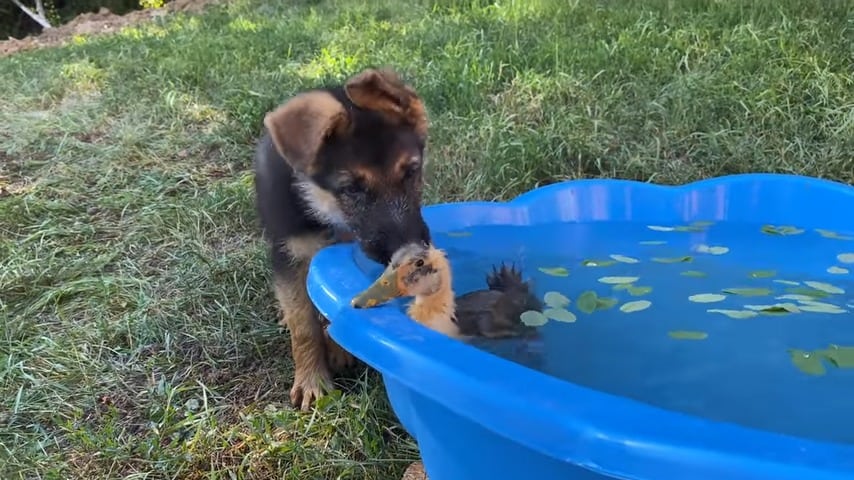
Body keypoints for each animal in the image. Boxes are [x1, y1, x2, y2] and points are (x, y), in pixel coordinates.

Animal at [252, 68, 428, 412]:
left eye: (411, 171)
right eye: (352, 189)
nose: (413, 254)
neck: (326, 212)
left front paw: (340, 349)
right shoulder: (289, 254)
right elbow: (303, 324)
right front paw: (311, 381)